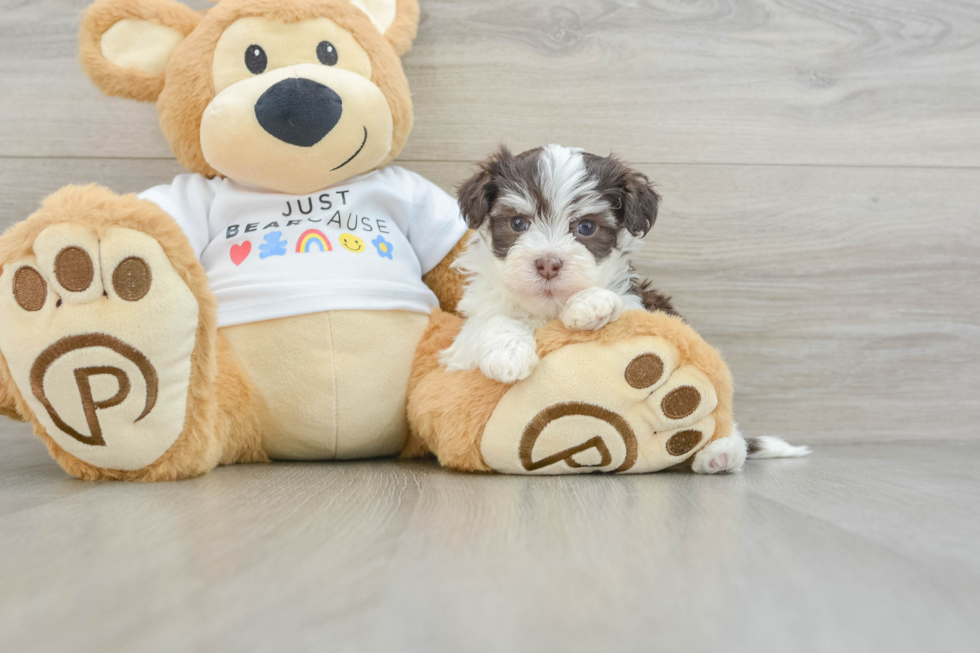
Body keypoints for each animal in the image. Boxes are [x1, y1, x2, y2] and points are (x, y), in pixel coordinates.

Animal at [442, 144, 676, 382]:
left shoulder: (640, 306)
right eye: (517, 223)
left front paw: (590, 302)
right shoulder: (461, 348)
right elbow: (486, 321)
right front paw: (508, 352)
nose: (547, 265)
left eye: (587, 227)